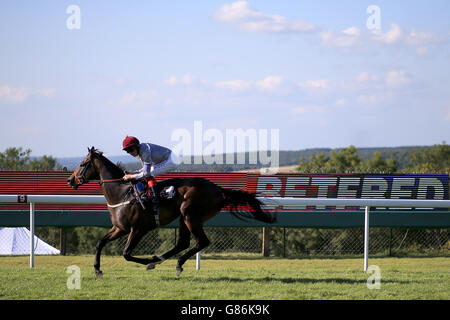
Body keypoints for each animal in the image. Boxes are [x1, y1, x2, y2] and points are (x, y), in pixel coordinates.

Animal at [67, 148, 276, 276]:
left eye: (83, 163)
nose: (70, 180)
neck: (122, 193)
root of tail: (218, 190)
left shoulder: (138, 229)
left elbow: (126, 253)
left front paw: (146, 261)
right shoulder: (119, 228)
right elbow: (99, 243)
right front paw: (97, 269)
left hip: (190, 214)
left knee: (201, 241)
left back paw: (172, 262)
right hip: (184, 218)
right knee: (183, 242)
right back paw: (160, 260)